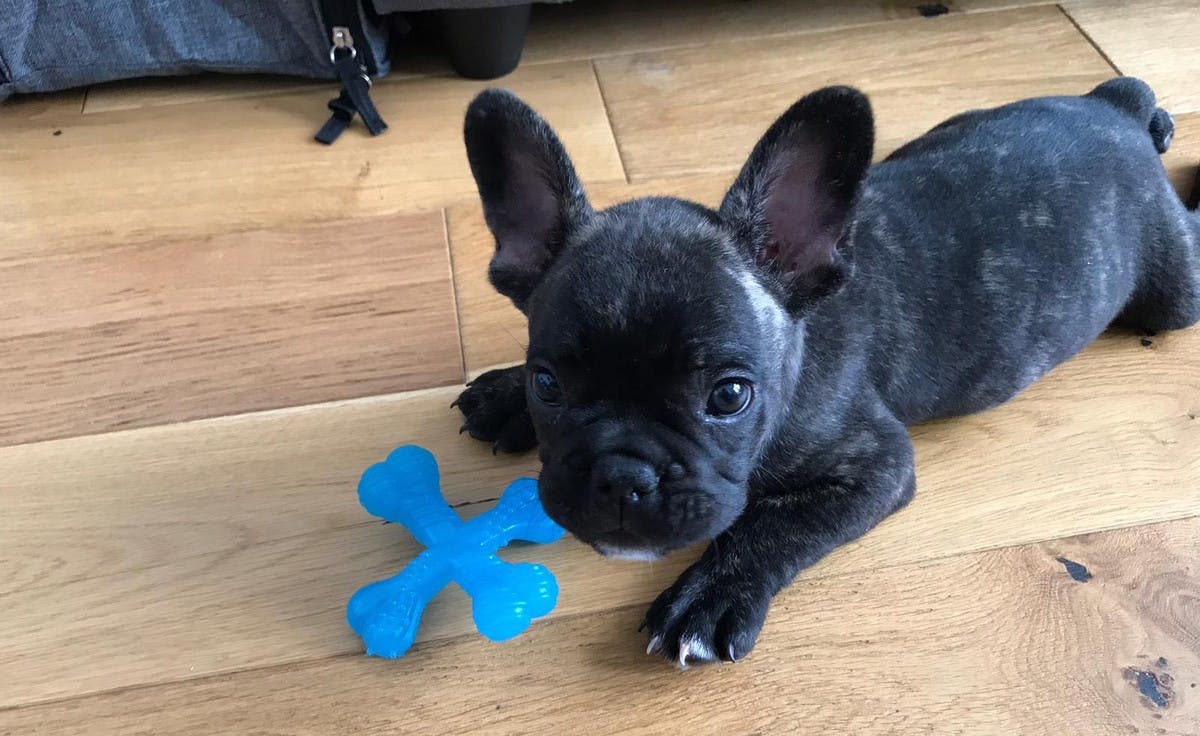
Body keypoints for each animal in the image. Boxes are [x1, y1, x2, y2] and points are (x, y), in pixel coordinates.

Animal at [451, 78, 1200, 667]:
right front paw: (503, 395)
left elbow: (772, 526)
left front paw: (710, 594)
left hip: (1175, 293)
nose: (621, 476)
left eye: (729, 395)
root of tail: (1109, 120)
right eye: (547, 384)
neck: (799, 344)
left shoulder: (875, 463)